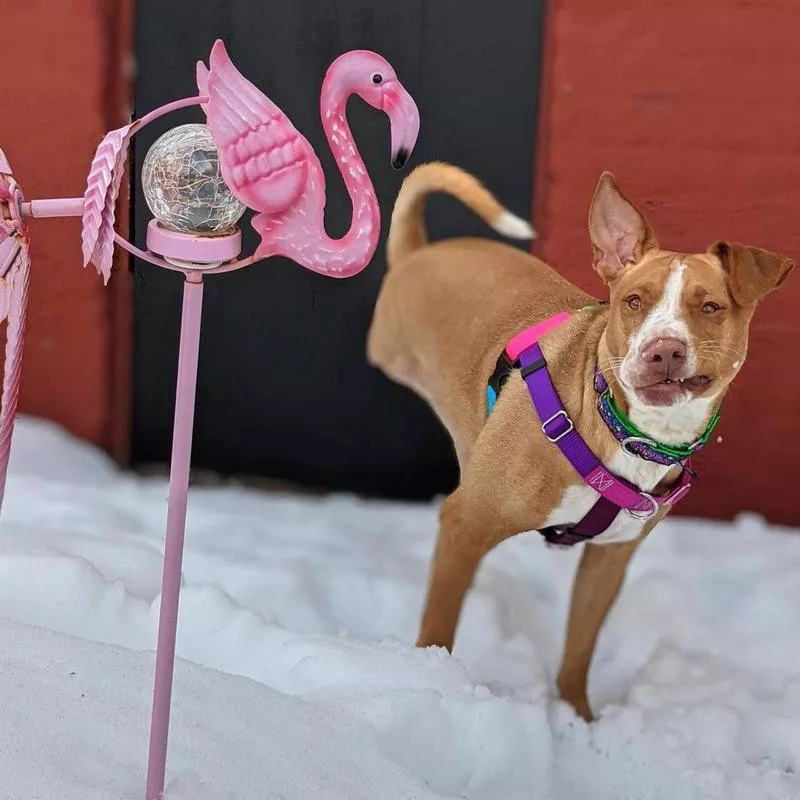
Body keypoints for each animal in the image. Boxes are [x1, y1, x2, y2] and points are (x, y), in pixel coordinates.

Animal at [368, 161, 792, 720]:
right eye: (633, 302)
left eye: (710, 308)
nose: (664, 351)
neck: (628, 433)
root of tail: (422, 253)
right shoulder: (466, 522)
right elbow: (439, 628)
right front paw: (434, 682)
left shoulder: (609, 560)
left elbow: (579, 649)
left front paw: (578, 718)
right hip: (388, 351)